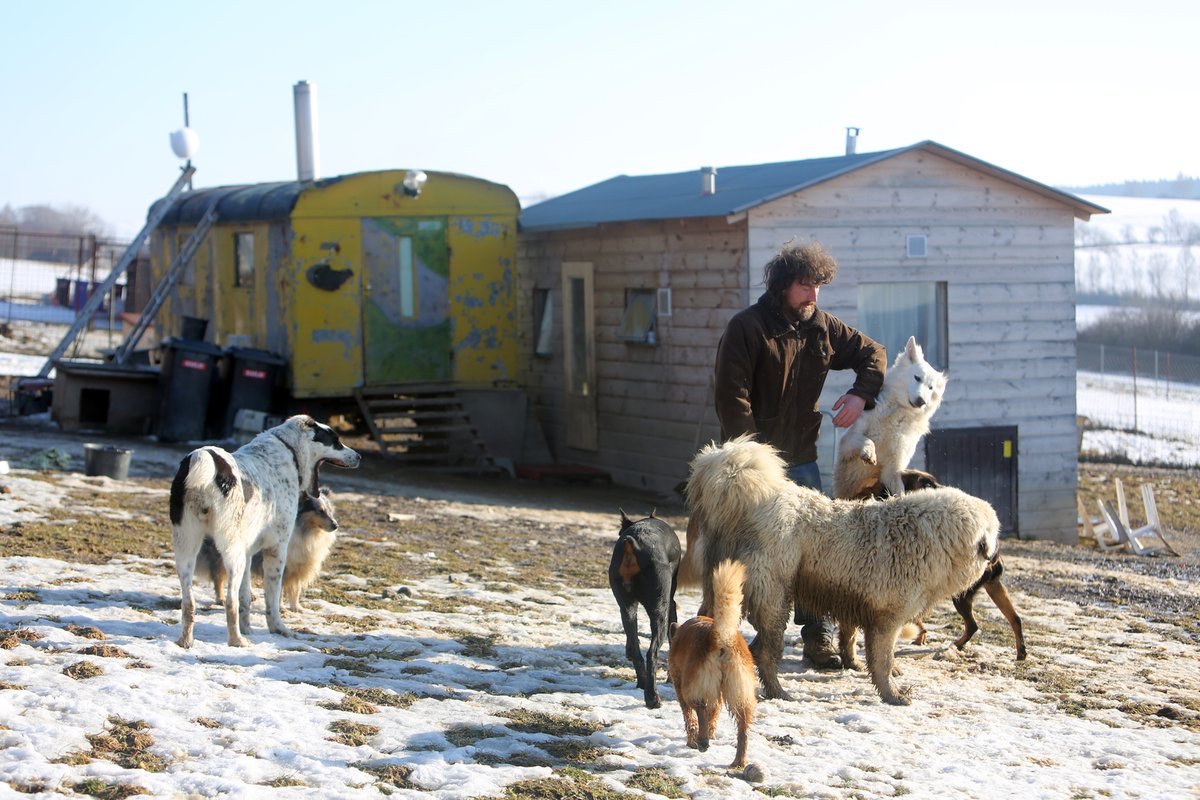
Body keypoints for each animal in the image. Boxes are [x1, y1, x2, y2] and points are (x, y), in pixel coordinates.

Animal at [169, 417, 357, 647]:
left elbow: (245, 598)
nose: (359, 456)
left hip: (187, 547)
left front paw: (248, 628)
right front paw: (278, 629)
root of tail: (205, 457)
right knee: (229, 601)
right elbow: (273, 599)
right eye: (336, 441)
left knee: (189, 601)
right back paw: (237, 641)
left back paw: (186, 641)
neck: (289, 450)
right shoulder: (277, 550)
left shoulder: (249, 553)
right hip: (232, 553)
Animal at [614, 510, 681, 710]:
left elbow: (632, 640)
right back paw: (652, 698)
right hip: (660, 610)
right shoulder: (670, 603)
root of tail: (633, 545)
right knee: (652, 653)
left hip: (626, 606)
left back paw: (643, 683)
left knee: (637, 648)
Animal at [835, 335, 945, 501]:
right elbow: (867, 439)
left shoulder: (893, 468)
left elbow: (899, 490)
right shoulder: (847, 442)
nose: (921, 402)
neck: (898, 410)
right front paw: (869, 453)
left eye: (930, 388)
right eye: (917, 378)